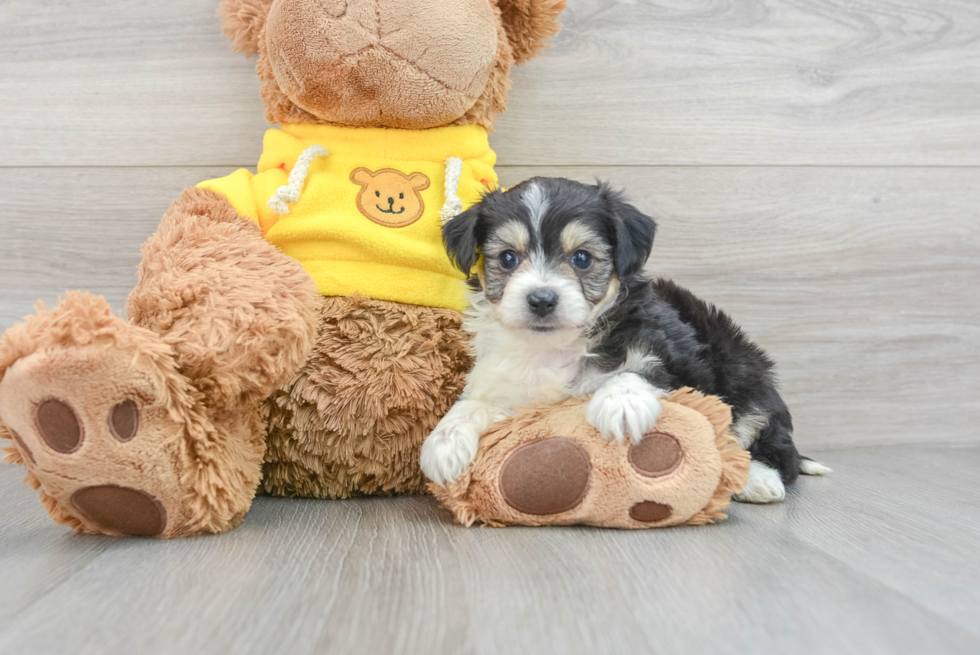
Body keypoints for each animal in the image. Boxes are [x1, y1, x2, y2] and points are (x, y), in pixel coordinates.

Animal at [418, 177, 832, 504]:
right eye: (507, 258)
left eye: (582, 258)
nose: (541, 299)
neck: (556, 347)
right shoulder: (507, 386)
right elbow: (473, 404)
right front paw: (443, 444)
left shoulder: (681, 360)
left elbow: (638, 371)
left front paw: (620, 405)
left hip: (743, 373)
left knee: (768, 443)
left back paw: (758, 479)